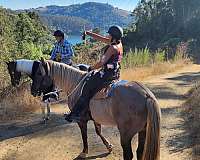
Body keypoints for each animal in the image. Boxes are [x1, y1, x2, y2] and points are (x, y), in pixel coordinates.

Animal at [30, 60, 161, 160]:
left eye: (39, 73)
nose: (32, 91)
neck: (76, 83)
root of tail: (146, 95)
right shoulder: (95, 118)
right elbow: (98, 131)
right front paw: (109, 146)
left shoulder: (81, 121)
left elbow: (84, 136)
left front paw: (84, 152)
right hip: (143, 130)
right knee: (140, 152)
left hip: (126, 134)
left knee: (129, 155)